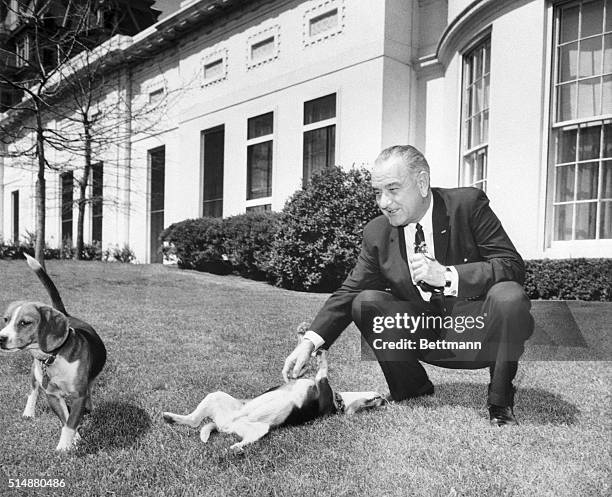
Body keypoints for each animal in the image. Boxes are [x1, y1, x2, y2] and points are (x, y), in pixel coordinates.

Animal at [0, 254, 106, 452]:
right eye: (6, 320)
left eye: (25, 322)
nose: (0, 338)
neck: (54, 357)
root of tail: (66, 314)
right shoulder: (52, 395)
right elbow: (66, 420)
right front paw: (71, 442)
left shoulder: (78, 395)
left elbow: (71, 421)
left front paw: (64, 447)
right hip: (34, 374)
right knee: (33, 391)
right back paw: (28, 412)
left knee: (90, 388)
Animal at [163, 326, 382, 450]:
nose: (383, 399)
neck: (338, 401)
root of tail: (225, 426)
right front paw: (307, 339)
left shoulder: (321, 381)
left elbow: (324, 367)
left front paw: (321, 354)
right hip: (216, 396)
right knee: (193, 421)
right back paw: (171, 418)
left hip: (260, 429)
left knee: (238, 437)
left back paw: (237, 447)